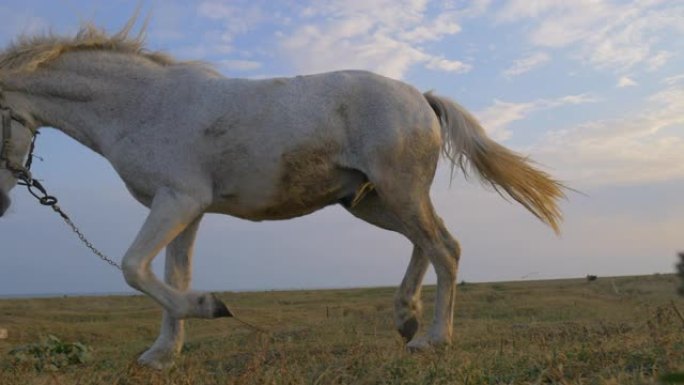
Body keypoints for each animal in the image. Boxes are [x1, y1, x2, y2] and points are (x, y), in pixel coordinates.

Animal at [0, 23, 564, 366]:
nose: (3, 204)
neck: (143, 106)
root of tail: (421, 98)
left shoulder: (177, 201)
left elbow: (134, 267)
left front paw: (210, 308)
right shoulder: (187, 210)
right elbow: (170, 276)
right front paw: (163, 353)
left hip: (398, 193)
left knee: (444, 248)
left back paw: (431, 339)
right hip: (373, 201)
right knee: (426, 244)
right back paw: (406, 319)